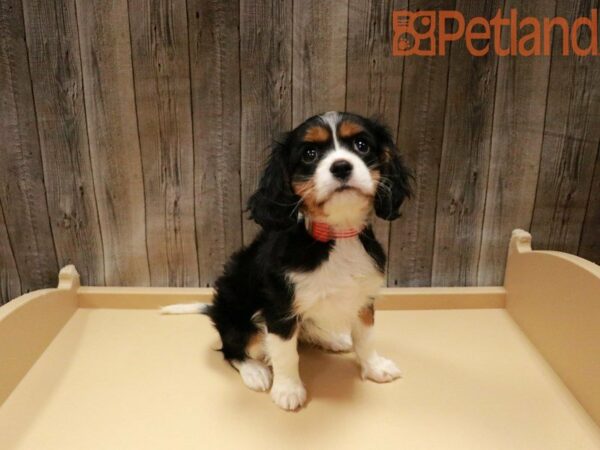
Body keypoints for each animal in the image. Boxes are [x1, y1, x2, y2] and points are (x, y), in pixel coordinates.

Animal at [162, 110, 410, 410]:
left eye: (361, 145)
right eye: (310, 154)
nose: (341, 166)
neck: (337, 235)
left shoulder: (364, 298)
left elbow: (366, 337)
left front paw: (375, 368)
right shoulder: (278, 306)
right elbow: (286, 353)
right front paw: (288, 390)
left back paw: (331, 339)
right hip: (238, 314)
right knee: (232, 348)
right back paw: (254, 370)